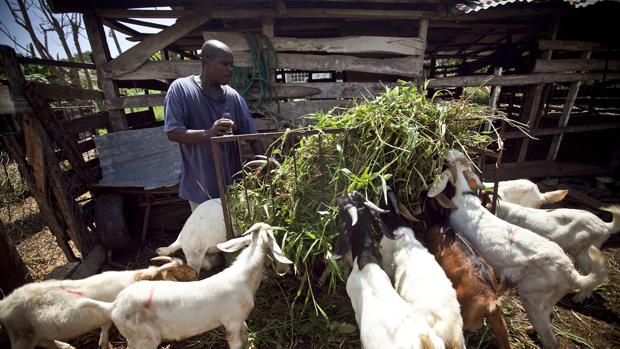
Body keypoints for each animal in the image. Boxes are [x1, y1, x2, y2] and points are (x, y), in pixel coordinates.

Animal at [0, 256, 190, 348]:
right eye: (177, 275)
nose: (194, 276)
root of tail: (4, 306)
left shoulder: (105, 316)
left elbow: (104, 327)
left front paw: (103, 343)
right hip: (21, 336)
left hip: (33, 333)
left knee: (46, 342)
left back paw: (67, 347)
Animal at [77, 222, 290, 348]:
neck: (243, 277)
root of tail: (113, 306)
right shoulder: (232, 322)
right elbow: (237, 344)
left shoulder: (240, 322)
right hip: (143, 339)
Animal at [428, 148, 608, 346]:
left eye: (451, 161)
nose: (447, 150)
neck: (465, 198)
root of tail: (570, 273)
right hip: (547, 300)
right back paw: (530, 330)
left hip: (533, 298)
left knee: (551, 340)